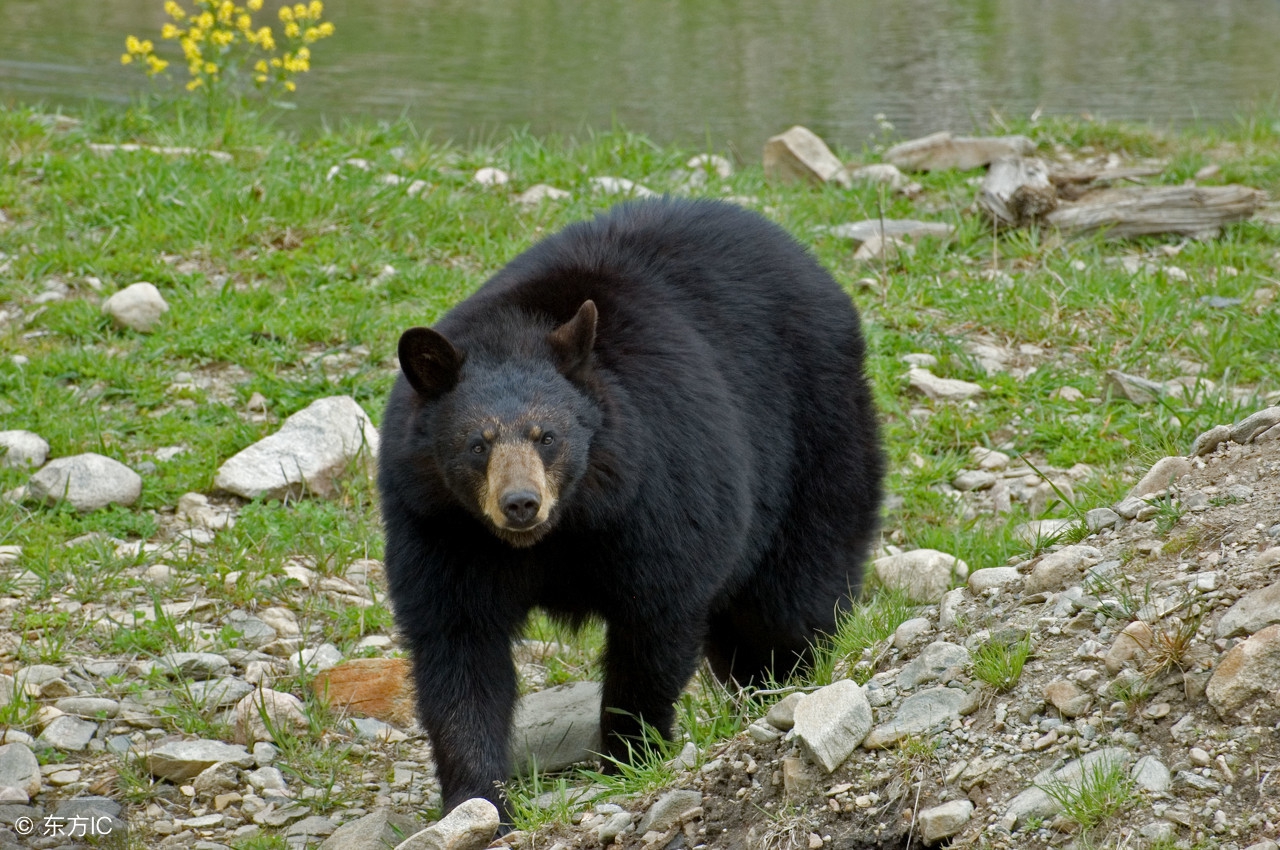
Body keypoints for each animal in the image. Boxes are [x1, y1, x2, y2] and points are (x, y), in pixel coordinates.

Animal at [373, 195, 885, 814]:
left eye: (548, 436)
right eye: (478, 443)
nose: (520, 503)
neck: (565, 526)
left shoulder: (657, 489)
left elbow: (655, 618)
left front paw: (629, 754)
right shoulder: (440, 527)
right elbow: (458, 645)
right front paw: (479, 803)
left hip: (816, 436)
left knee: (793, 594)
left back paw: (790, 680)